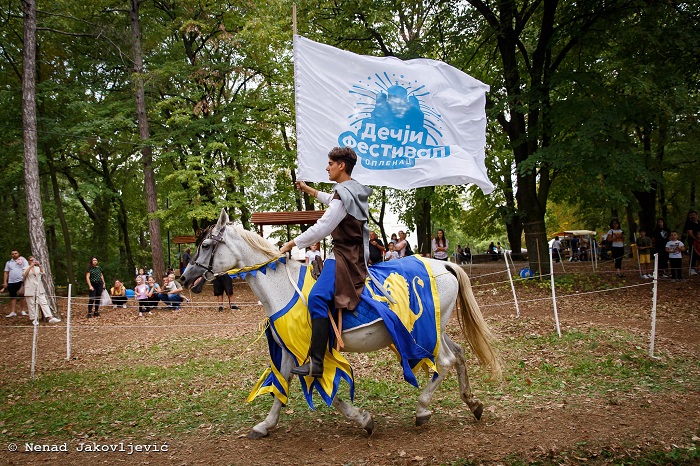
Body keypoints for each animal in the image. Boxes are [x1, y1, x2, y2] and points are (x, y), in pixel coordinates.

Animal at [180, 209, 498, 438]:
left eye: (206, 245)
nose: (184, 277)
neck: (279, 285)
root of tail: (444, 264)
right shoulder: (289, 350)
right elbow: (282, 385)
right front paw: (265, 425)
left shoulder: (310, 352)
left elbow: (325, 390)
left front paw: (363, 419)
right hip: (435, 329)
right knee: (458, 354)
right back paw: (473, 403)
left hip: (425, 332)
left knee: (444, 362)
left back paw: (422, 410)